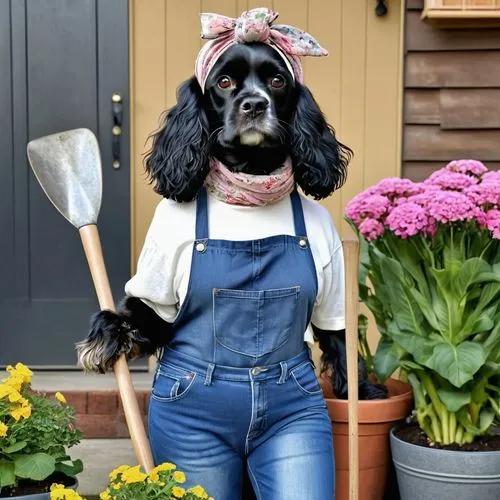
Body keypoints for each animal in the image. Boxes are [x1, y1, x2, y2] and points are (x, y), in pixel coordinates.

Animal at [77, 43, 386, 402]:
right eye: (224, 82)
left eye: (278, 81)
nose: (254, 104)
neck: (249, 183)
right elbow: (138, 313)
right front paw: (106, 335)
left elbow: (342, 342)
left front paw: (364, 392)